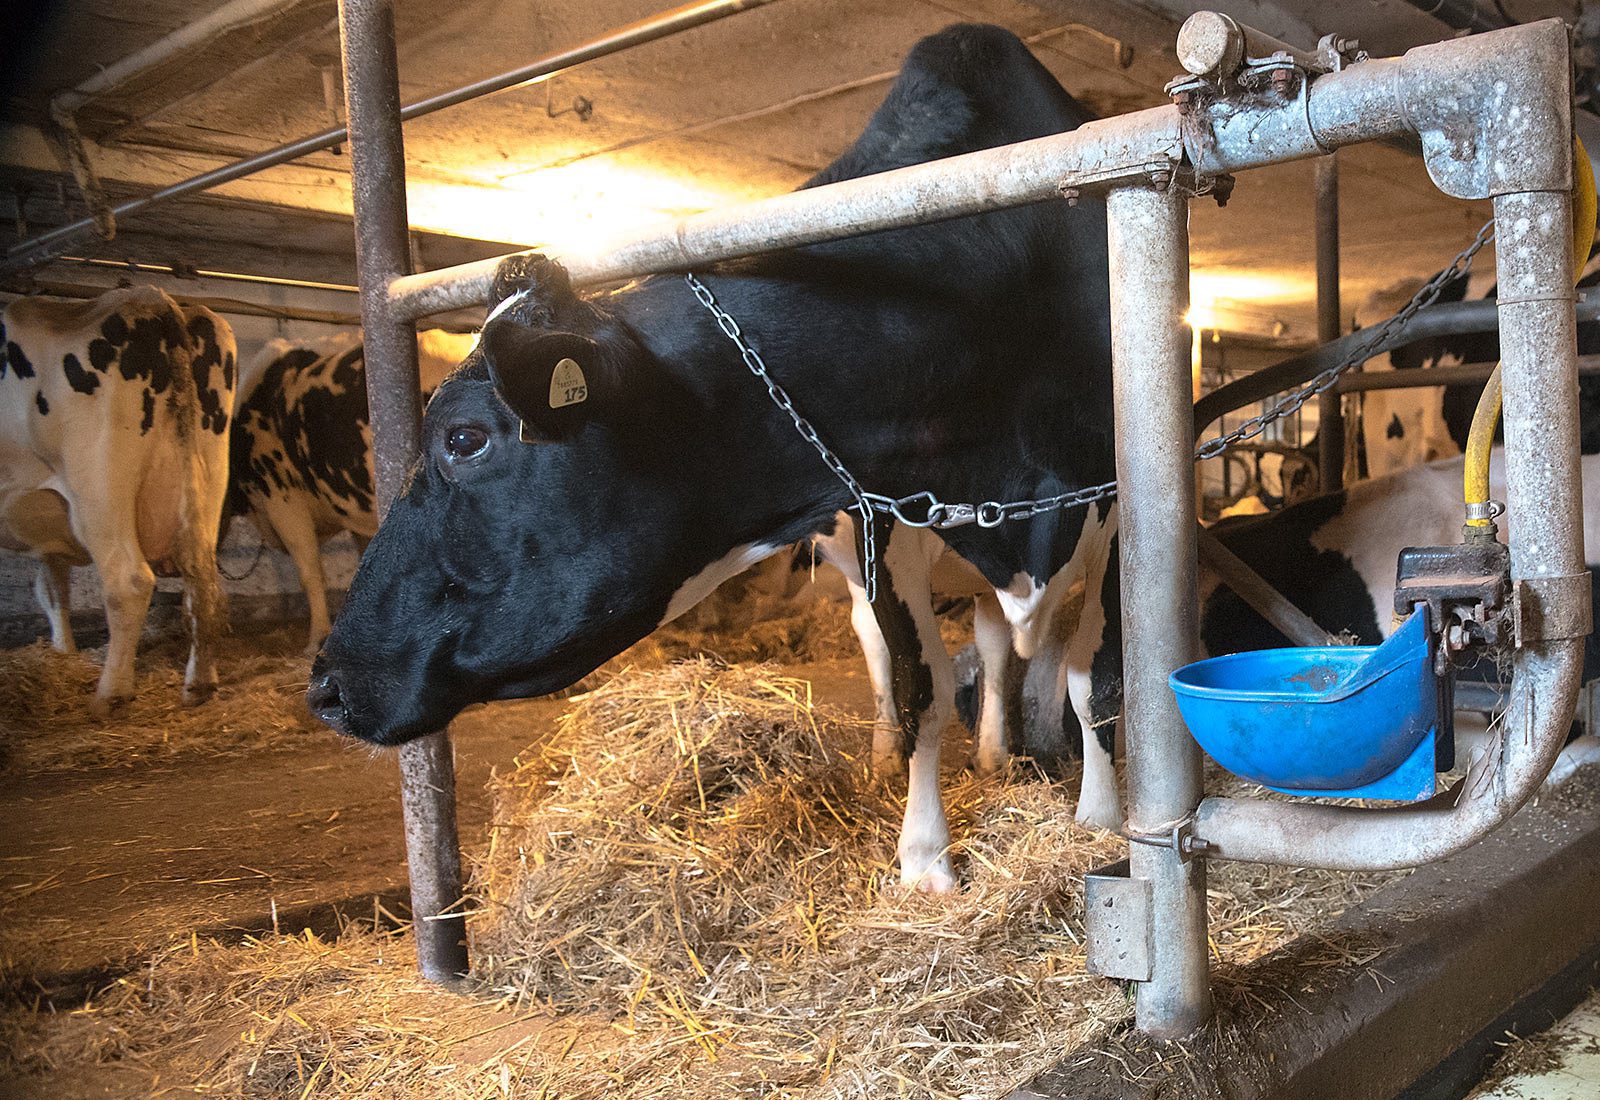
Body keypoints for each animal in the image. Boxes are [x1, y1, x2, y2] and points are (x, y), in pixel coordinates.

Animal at [0, 286, 236, 713]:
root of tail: (151, 297)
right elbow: (52, 589)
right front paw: (63, 652)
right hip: (208, 474)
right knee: (201, 581)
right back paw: (199, 685)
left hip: (98, 483)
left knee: (129, 581)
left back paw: (110, 694)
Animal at [308, 27, 1113, 895]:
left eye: (463, 439)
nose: (323, 685)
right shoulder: (884, 516)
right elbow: (921, 683)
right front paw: (926, 859)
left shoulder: (1114, 487)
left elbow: (1090, 667)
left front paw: (1102, 816)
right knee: (887, 650)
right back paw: (895, 756)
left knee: (1000, 641)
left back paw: (1000, 753)